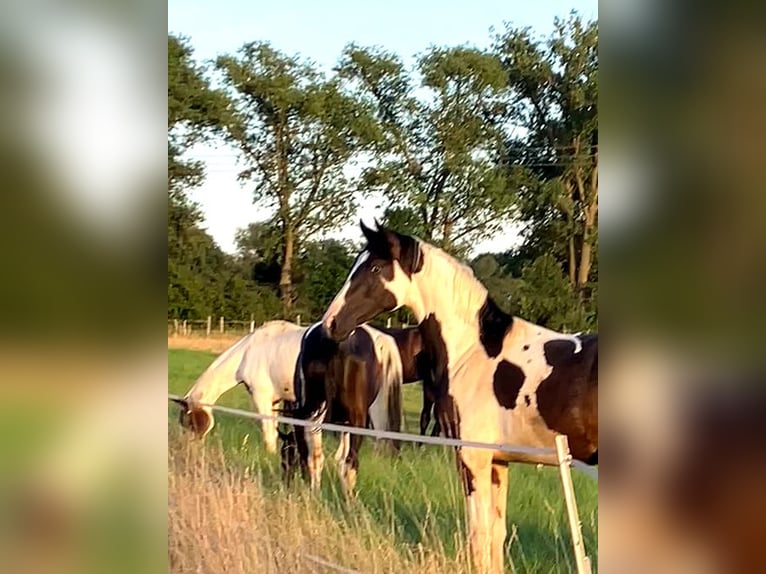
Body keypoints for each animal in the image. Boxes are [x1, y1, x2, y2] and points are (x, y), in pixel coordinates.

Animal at [172, 320, 308, 454]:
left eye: (189, 422)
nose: (190, 450)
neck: (248, 352)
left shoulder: (262, 397)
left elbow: (268, 434)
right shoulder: (274, 401)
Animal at [318, 220, 600, 574]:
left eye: (375, 268)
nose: (330, 324)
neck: (474, 352)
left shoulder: (471, 460)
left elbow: (478, 537)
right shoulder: (498, 463)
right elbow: (495, 536)